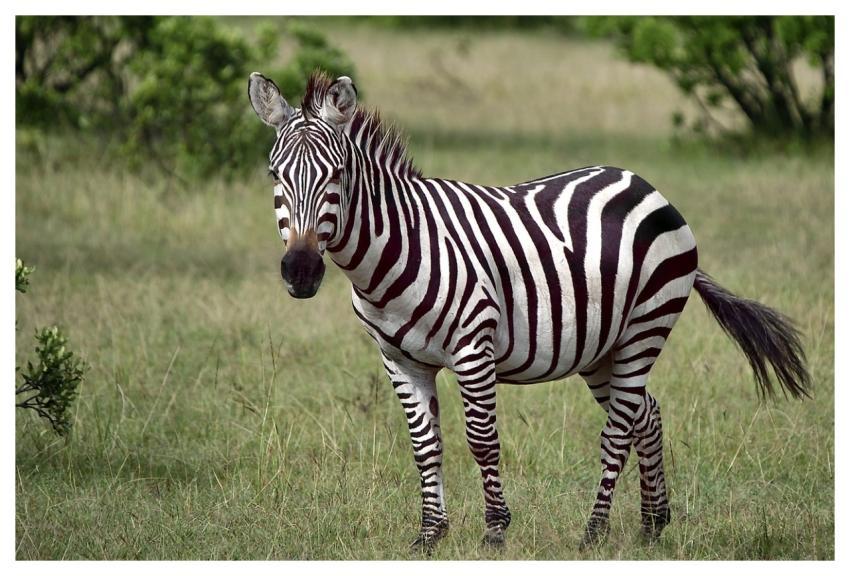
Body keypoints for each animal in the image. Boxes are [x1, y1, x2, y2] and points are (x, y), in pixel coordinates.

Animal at [247, 71, 811, 550]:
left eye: (338, 174)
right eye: (275, 174)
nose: (301, 271)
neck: (397, 248)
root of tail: (644, 184)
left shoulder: (473, 347)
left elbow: (482, 441)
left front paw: (495, 531)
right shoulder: (399, 359)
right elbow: (425, 445)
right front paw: (429, 536)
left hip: (644, 327)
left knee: (619, 430)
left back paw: (594, 533)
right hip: (600, 347)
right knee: (645, 415)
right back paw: (653, 526)